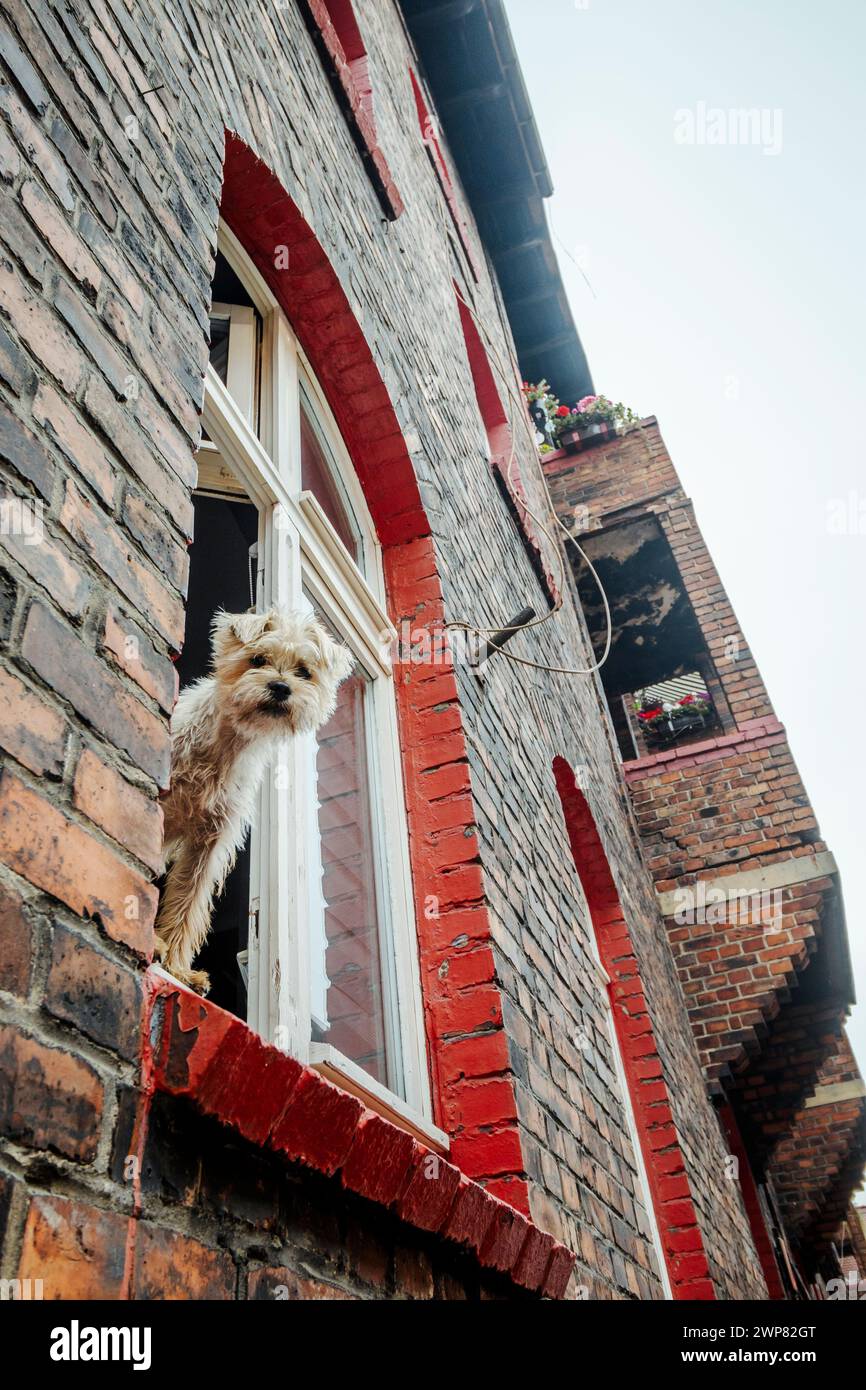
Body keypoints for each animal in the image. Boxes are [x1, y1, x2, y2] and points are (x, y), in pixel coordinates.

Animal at [154, 608, 353, 989]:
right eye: (258, 659)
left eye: (303, 671)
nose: (280, 686)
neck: (226, 745)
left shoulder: (208, 843)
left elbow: (188, 902)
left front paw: (176, 969)